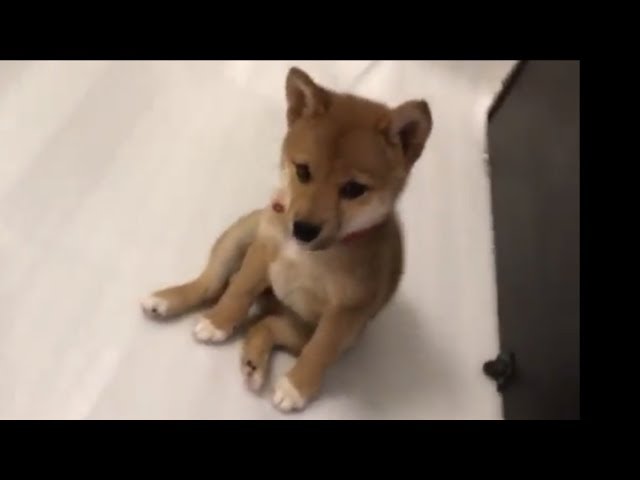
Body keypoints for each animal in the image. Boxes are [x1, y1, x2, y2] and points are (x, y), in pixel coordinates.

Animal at [141, 66, 433, 412]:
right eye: (303, 171)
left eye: (354, 189)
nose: (303, 229)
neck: (309, 254)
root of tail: (270, 302)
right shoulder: (262, 252)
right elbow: (238, 292)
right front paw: (219, 321)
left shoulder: (345, 312)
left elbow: (320, 350)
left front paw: (297, 387)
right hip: (239, 236)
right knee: (213, 284)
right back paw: (169, 300)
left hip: (306, 330)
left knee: (265, 326)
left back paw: (253, 364)